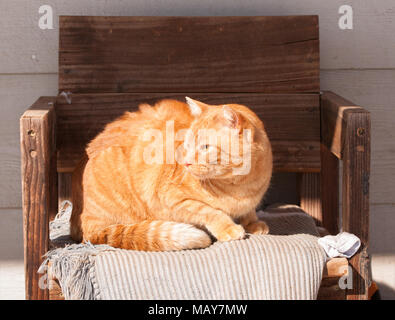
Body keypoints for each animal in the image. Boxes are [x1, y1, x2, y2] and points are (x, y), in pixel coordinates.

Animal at [70, 96, 272, 251]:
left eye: (206, 147)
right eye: (187, 144)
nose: (186, 162)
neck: (241, 186)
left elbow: (249, 211)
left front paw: (252, 222)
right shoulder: (170, 197)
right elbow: (209, 211)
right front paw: (228, 227)